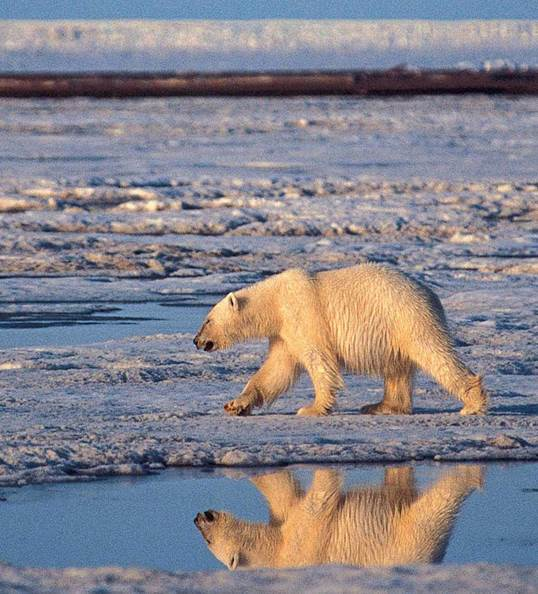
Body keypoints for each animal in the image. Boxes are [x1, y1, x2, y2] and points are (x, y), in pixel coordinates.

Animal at [193, 264, 486, 416]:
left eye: (207, 320)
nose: (196, 340)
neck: (275, 301)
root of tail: (430, 294)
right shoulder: (284, 333)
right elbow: (276, 370)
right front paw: (235, 404)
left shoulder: (304, 316)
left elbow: (318, 361)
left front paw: (312, 408)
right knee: (397, 369)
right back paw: (382, 406)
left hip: (406, 316)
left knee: (434, 353)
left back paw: (472, 403)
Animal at [194, 464, 482, 568]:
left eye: (209, 542)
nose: (198, 517)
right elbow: (283, 496)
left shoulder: (305, 542)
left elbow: (316, 505)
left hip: (407, 538)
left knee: (431, 510)